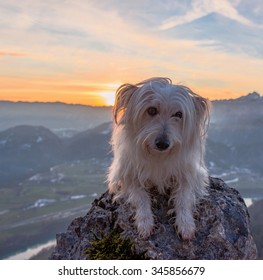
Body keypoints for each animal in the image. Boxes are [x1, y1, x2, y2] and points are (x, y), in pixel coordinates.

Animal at [107, 77, 210, 240]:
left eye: (179, 114)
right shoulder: (127, 177)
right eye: (151, 110)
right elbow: (140, 197)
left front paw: (186, 223)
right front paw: (145, 222)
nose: (162, 143)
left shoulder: (189, 175)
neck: (158, 156)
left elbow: (184, 198)